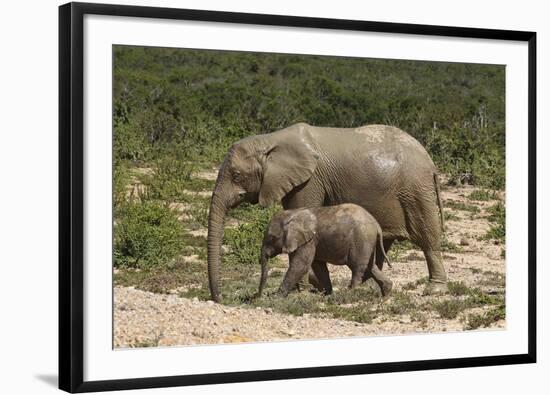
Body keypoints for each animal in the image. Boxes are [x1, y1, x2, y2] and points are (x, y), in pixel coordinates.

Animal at [258, 204, 392, 296]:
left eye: (271, 237)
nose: (258, 297)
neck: (292, 213)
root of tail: (377, 226)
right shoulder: (304, 241)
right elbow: (318, 266)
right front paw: (327, 295)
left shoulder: (309, 241)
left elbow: (300, 265)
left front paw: (277, 297)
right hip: (367, 243)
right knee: (370, 267)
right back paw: (386, 294)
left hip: (361, 240)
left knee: (358, 267)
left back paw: (350, 292)